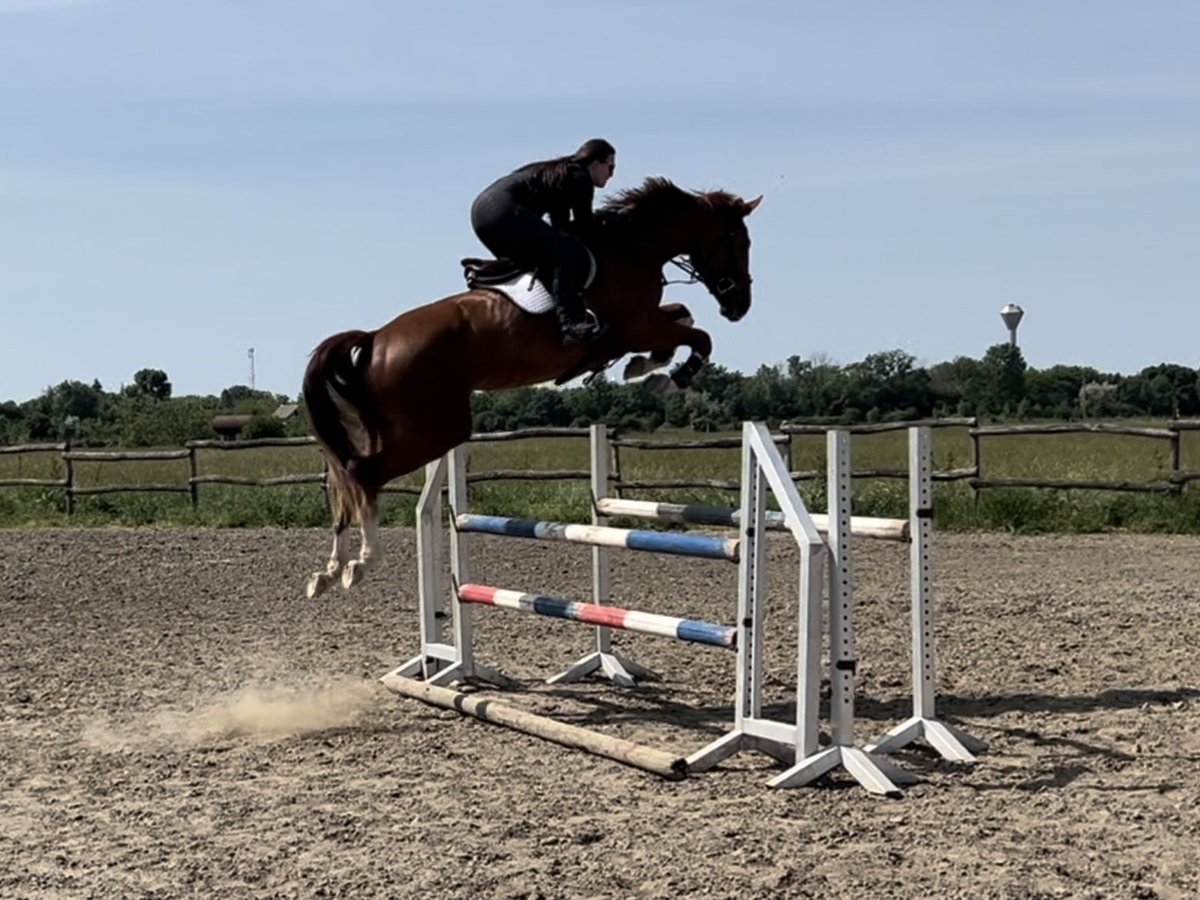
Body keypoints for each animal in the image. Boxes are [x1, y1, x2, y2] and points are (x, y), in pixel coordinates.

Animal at [301, 176, 761, 598]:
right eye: (739, 241)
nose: (740, 307)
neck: (632, 250)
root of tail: (376, 339)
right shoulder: (636, 326)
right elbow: (699, 336)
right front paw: (665, 379)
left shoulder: (645, 324)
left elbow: (683, 318)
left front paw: (642, 367)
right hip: (438, 428)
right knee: (362, 472)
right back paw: (363, 561)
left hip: (396, 427)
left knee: (343, 480)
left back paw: (329, 571)